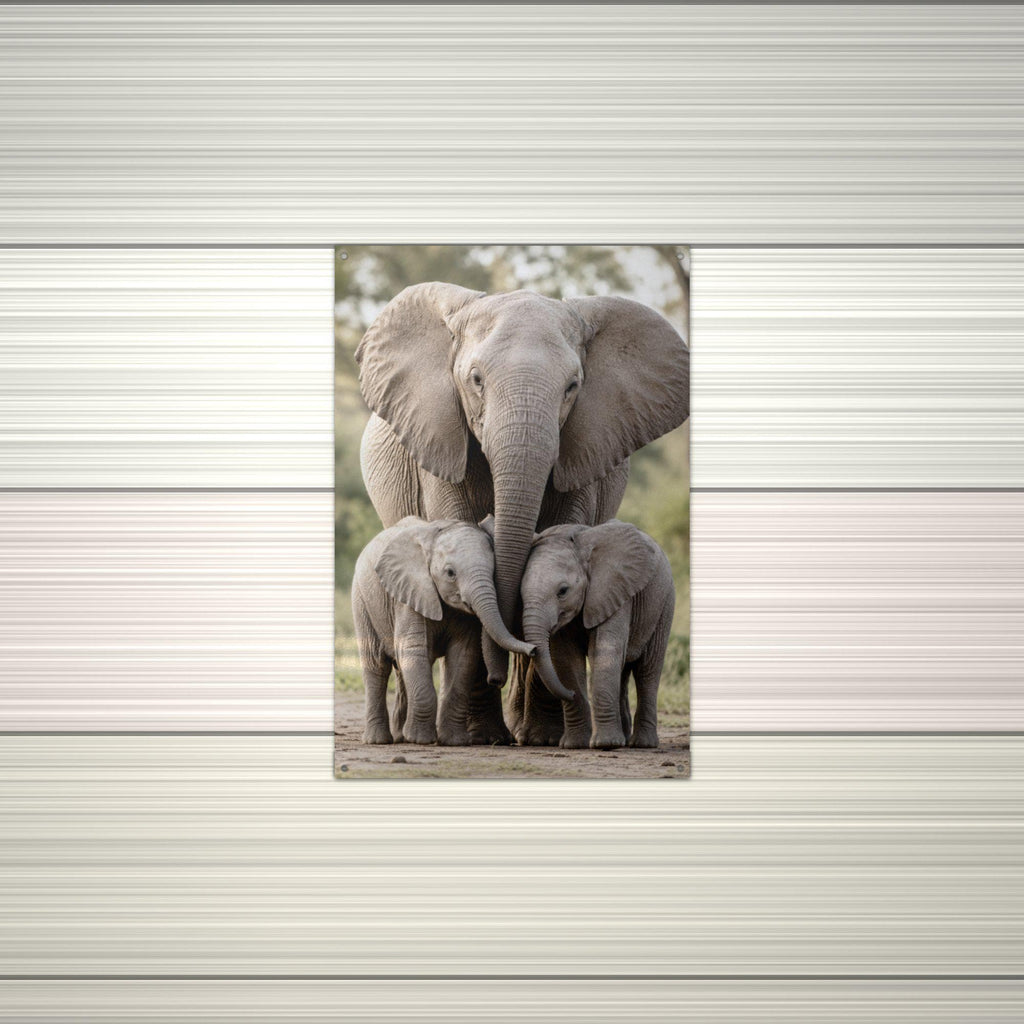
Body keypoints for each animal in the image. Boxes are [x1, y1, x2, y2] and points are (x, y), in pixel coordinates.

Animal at [352, 517, 538, 746]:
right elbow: (413, 649)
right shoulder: (409, 594)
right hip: (362, 601)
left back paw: (400, 736)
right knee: (376, 666)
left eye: (494, 571)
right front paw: (420, 740)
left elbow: (463, 656)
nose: (533, 649)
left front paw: (454, 741)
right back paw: (379, 740)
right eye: (450, 573)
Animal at [519, 520, 675, 750]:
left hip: (664, 603)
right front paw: (575, 745)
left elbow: (604, 651)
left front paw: (605, 744)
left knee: (647, 670)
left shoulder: (615, 591)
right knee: (624, 671)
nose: (571, 694)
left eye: (563, 591)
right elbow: (566, 659)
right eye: (520, 594)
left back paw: (641, 744)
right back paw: (625, 739)